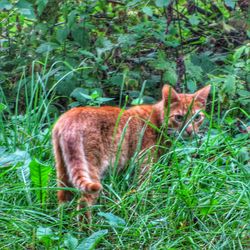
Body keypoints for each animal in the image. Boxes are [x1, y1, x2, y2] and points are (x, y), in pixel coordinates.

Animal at [51, 85, 210, 222]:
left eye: (197, 117)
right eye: (179, 117)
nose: (189, 131)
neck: (157, 121)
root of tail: (70, 118)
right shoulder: (145, 165)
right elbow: (145, 191)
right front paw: (147, 211)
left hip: (63, 171)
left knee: (62, 199)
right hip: (92, 170)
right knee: (84, 202)